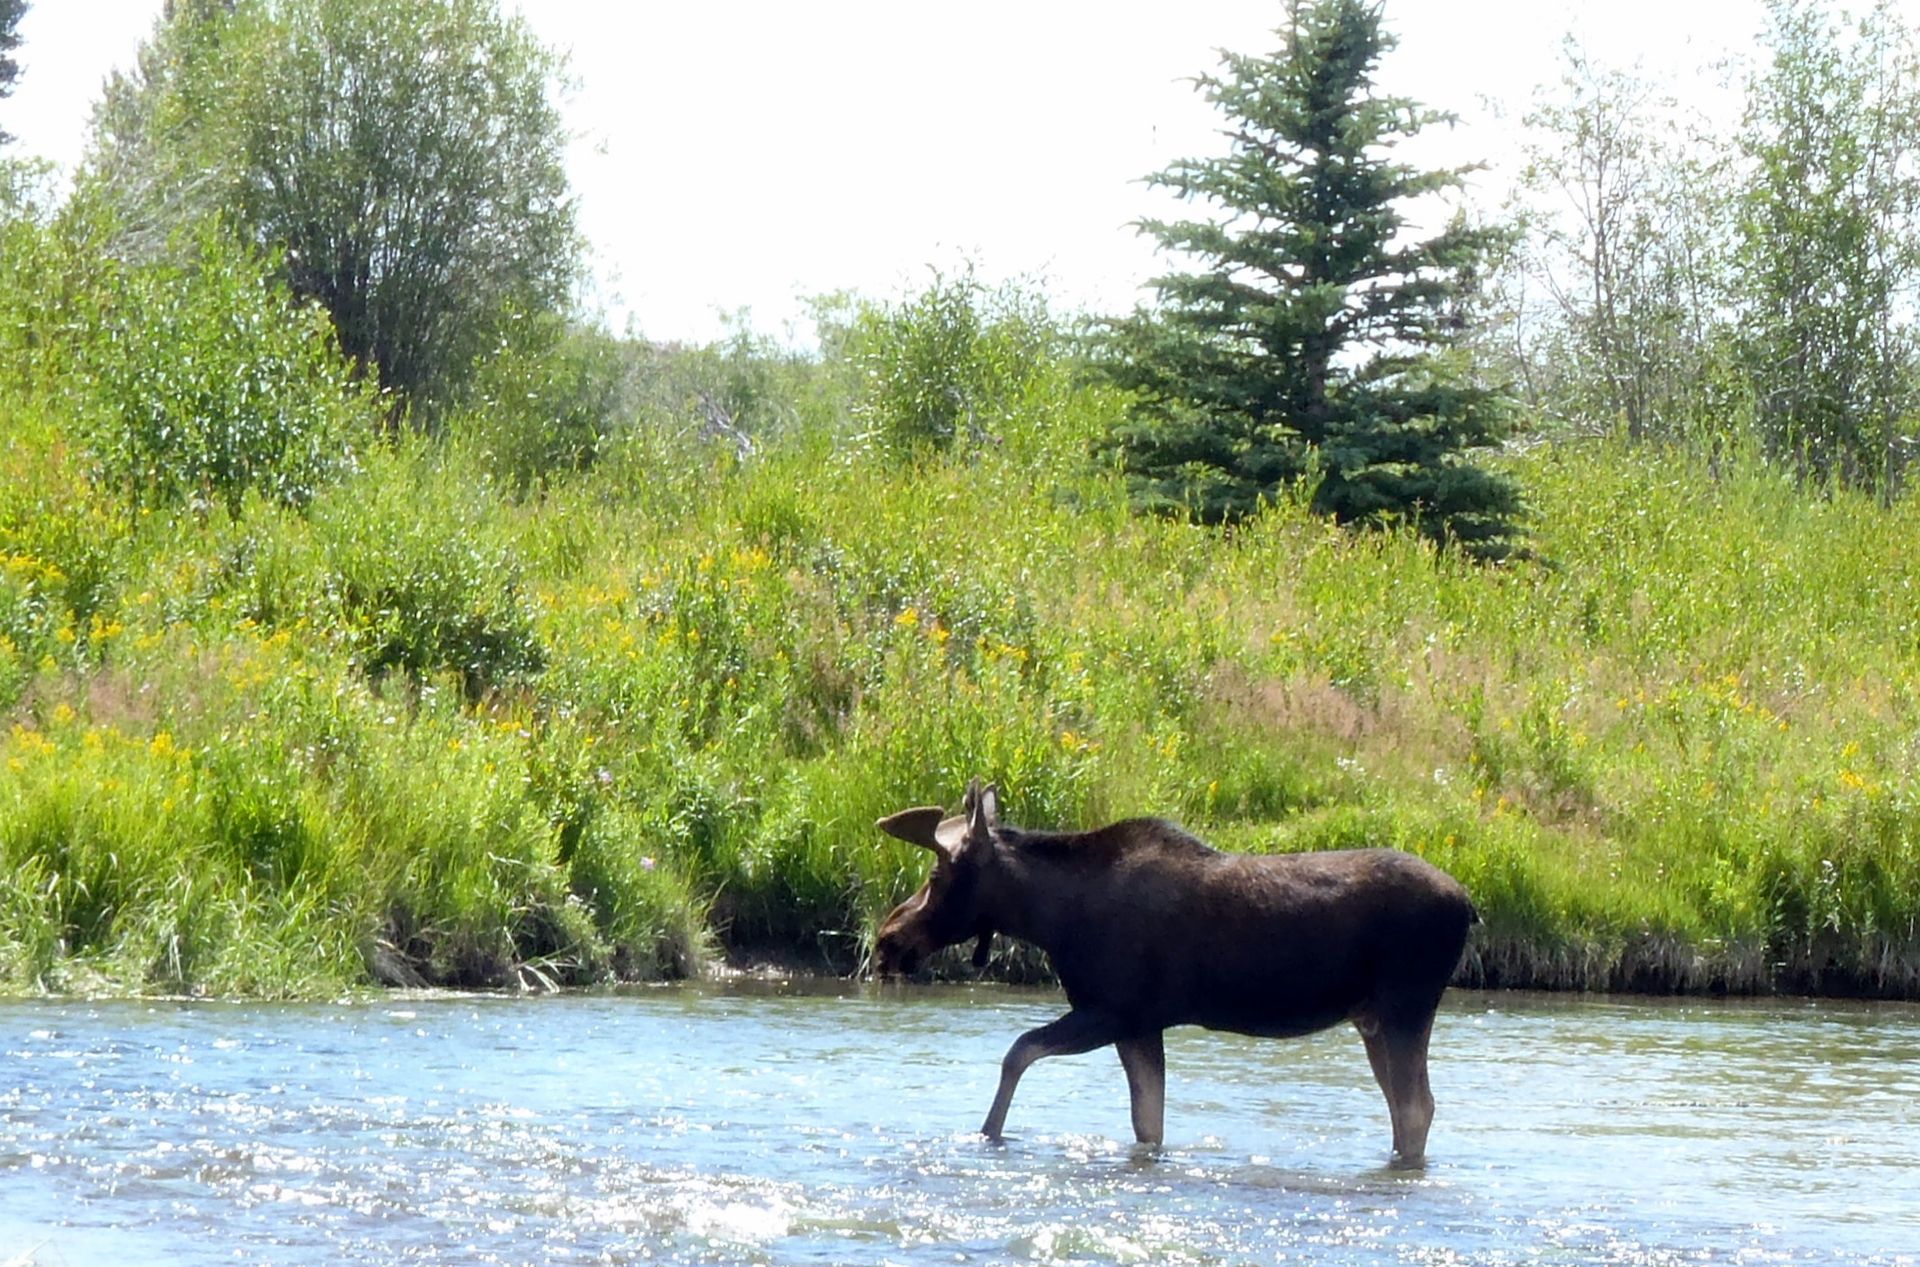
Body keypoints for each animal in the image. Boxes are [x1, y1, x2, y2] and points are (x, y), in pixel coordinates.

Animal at [872, 779, 1478, 1167]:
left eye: (936, 874)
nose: (887, 940)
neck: (1052, 919)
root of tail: (1469, 905)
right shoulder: (1141, 1025)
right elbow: (1148, 1123)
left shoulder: (1113, 1010)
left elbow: (1018, 1052)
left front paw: (988, 1135)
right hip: (1371, 1017)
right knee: (1404, 1110)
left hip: (1405, 1005)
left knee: (1416, 1108)